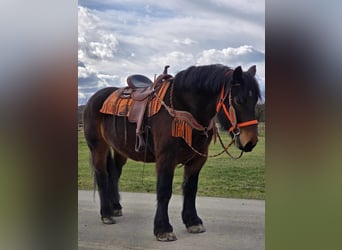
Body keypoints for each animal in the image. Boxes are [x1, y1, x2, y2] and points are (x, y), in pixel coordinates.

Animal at [84, 63, 260, 241]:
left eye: (255, 101)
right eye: (238, 101)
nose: (250, 142)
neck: (183, 107)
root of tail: (94, 99)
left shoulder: (197, 160)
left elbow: (190, 189)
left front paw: (192, 221)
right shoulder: (166, 158)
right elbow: (164, 191)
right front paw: (163, 228)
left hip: (120, 149)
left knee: (114, 173)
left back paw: (115, 207)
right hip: (98, 147)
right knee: (102, 175)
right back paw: (106, 214)